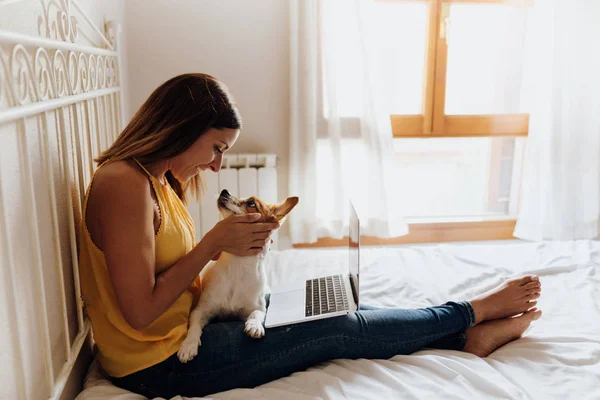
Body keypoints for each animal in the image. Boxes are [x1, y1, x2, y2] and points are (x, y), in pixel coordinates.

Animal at [178, 188, 300, 362]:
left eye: (251, 203)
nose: (224, 191)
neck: (238, 264)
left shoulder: (259, 308)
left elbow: (257, 313)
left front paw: (254, 326)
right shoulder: (201, 311)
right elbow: (194, 327)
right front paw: (188, 345)